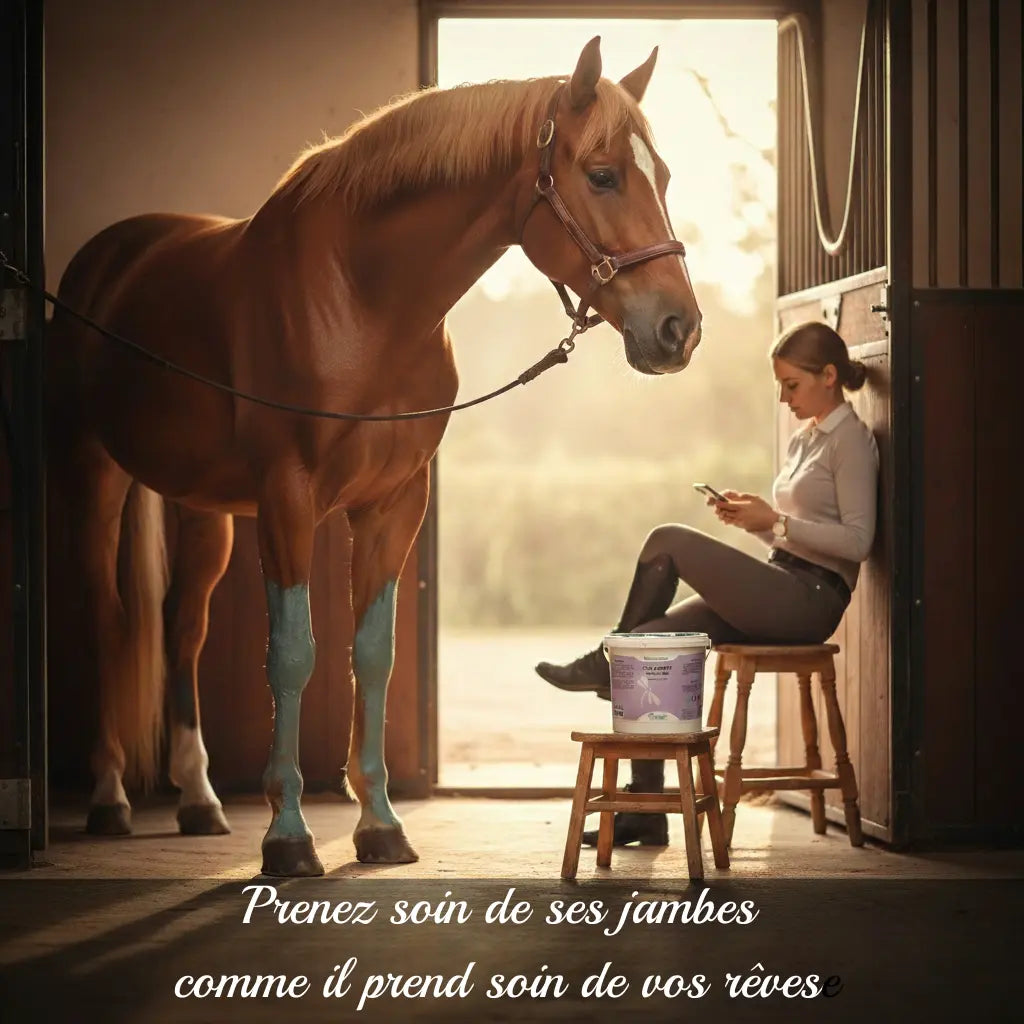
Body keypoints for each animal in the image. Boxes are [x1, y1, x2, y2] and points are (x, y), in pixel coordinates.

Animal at [47, 36, 703, 876]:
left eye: (664, 175)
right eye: (602, 174)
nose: (679, 328)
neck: (362, 297)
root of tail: (107, 257)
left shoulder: (394, 500)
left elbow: (374, 652)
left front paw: (381, 825)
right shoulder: (288, 495)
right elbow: (294, 652)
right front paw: (289, 836)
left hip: (200, 509)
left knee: (182, 627)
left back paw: (198, 798)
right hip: (92, 474)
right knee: (106, 618)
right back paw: (110, 799)